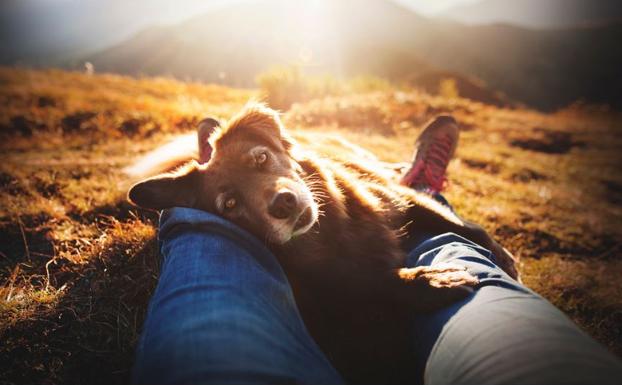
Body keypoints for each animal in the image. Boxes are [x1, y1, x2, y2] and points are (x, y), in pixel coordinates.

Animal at [128, 103, 520, 382]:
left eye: (261, 157)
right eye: (230, 204)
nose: (283, 204)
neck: (328, 230)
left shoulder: (396, 199)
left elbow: (457, 225)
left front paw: (501, 256)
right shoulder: (332, 281)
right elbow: (373, 283)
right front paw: (431, 282)